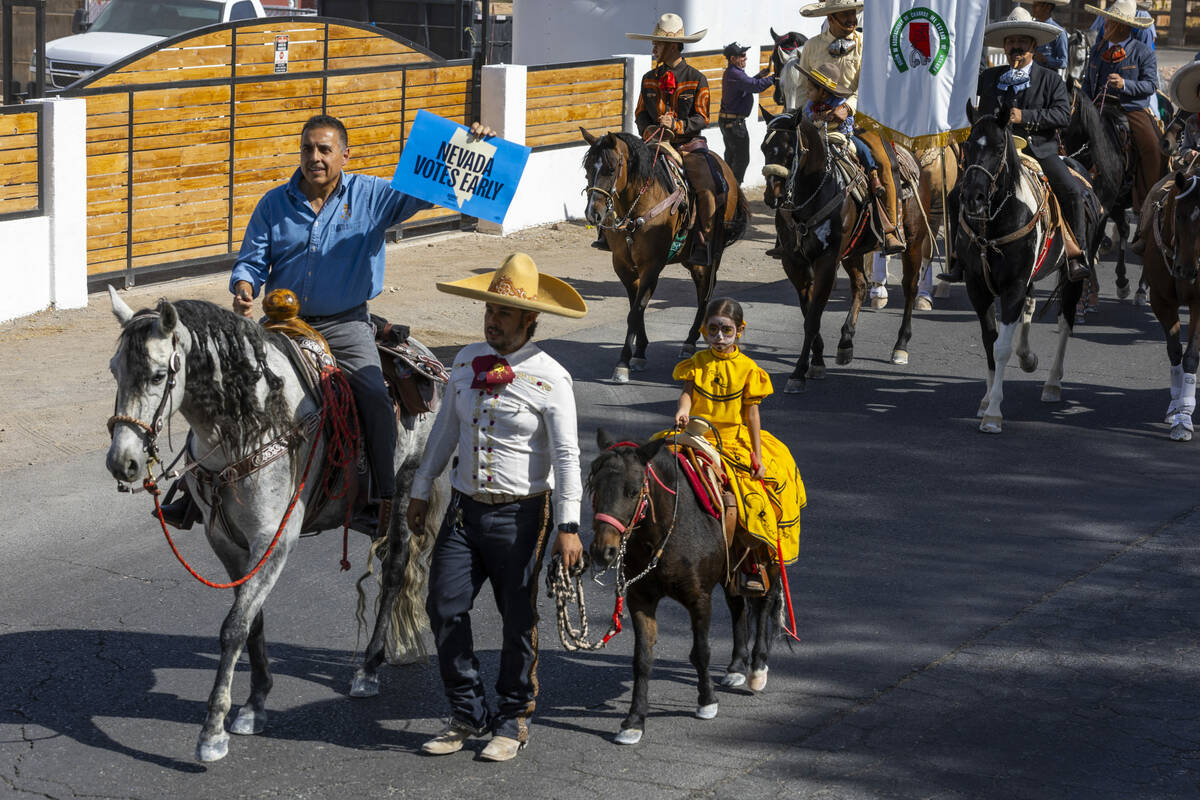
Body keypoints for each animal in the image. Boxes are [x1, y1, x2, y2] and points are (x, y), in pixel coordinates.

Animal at [103, 291, 448, 762]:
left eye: (158, 375)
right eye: (114, 370)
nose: (123, 463)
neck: (250, 425)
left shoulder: (275, 538)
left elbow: (233, 627)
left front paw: (213, 730)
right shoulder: (227, 542)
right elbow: (252, 619)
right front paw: (256, 702)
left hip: (405, 489)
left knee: (395, 571)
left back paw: (368, 668)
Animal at [583, 128, 748, 383]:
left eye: (610, 169)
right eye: (588, 168)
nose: (594, 214)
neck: (637, 208)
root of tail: (726, 169)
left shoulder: (652, 266)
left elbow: (635, 312)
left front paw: (623, 364)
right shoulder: (623, 266)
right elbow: (635, 309)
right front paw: (639, 352)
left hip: (712, 255)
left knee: (706, 293)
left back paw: (690, 342)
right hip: (690, 260)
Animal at [585, 431, 782, 743]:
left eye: (632, 491)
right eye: (595, 487)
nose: (603, 551)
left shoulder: (698, 597)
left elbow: (701, 651)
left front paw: (707, 702)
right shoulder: (640, 598)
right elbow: (642, 659)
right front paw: (634, 721)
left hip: (766, 561)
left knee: (764, 603)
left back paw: (757, 669)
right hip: (730, 570)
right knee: (737, 606)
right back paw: (736, 667)